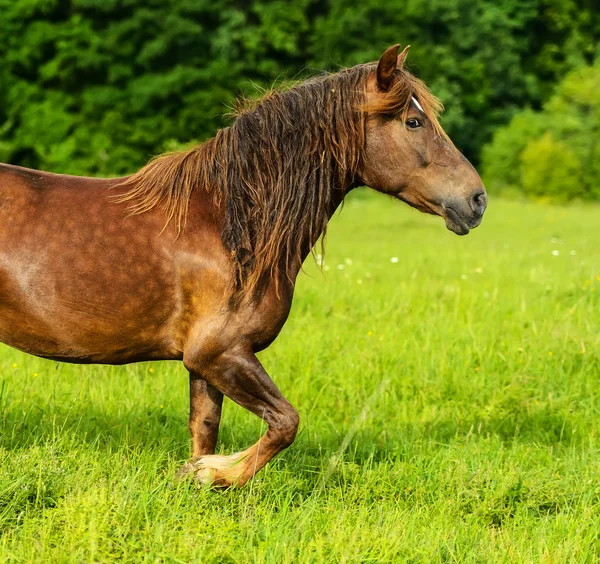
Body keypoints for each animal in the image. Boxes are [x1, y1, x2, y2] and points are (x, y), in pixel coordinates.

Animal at [0, 44, 488, 486]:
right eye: (413, 121)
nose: (476, 200)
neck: (231, 224)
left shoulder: (203, 362)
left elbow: (205, 427)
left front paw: (195, 478)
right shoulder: (219, 352)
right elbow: (285, 423)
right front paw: (211, 474)